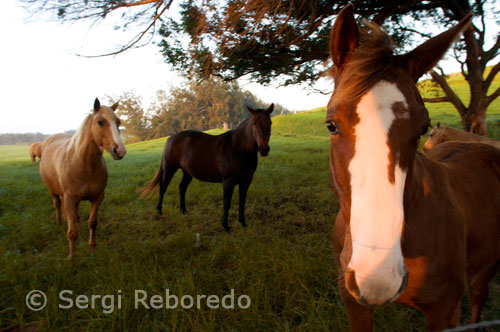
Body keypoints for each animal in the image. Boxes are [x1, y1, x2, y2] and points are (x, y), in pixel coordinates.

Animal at [40, 98, 127, 260]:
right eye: (100, 122)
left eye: (118, 122)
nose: (120, 150)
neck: (84, 165)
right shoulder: (70, 199)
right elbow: (73, 233)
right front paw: (72, 258)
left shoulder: (97, 197)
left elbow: (92, 223)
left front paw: (92, 247)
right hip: (53, 192)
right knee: (57, 205)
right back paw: (59, 223)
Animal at [141, 105, 274, 232]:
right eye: (254, 123)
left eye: (270, 123)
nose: (264, 149)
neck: (237, 148)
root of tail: (170, 138)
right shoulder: (228, 182)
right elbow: (227, 203)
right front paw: (226, 226)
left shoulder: (246, 181)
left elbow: (242, 202)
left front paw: (243, 224)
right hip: (169, 169)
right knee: (163, 187)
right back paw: (159, 211)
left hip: (187, 173)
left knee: (182, 188)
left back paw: (183, 211)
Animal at [328, 5, 500, 332]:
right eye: (331, 125)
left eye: (423, 128)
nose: (376, 278)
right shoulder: (353, 303)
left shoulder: (444, 311)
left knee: (478, 296)